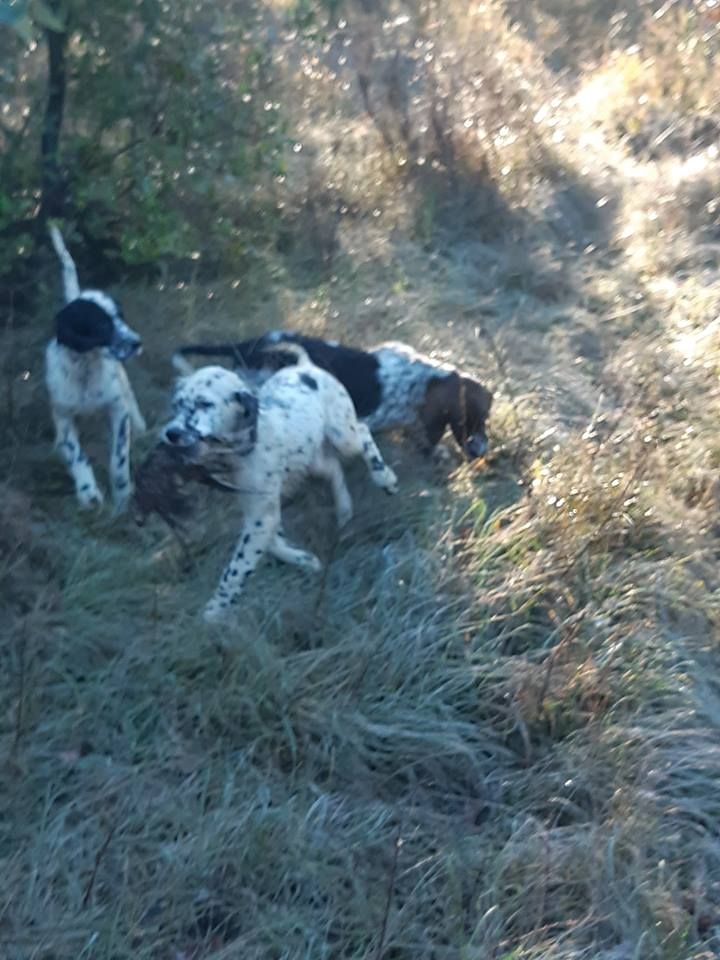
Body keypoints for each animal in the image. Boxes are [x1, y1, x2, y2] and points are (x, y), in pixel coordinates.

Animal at [44, 227, 146, 510]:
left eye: (121, 316)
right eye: (101, 325)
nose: (137, 342)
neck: (86, 369)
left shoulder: (117, 408)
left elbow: (119, 458)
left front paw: (122, 494)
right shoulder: (63, 415)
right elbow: (76, 454)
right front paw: (88, 492)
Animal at [161, 348, 400, 628]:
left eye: (204, 404)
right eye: (177, 404)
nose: (171, 433)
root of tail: (305, 366)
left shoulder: (261, 516)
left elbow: (237, 567)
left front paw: (215, 610)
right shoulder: (257, 510)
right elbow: (273, 542)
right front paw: (304, 559)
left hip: (343, 434)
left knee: (362, 432)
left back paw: (385, 477)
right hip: (312, 457)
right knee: (333, 469)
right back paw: (344, 511)